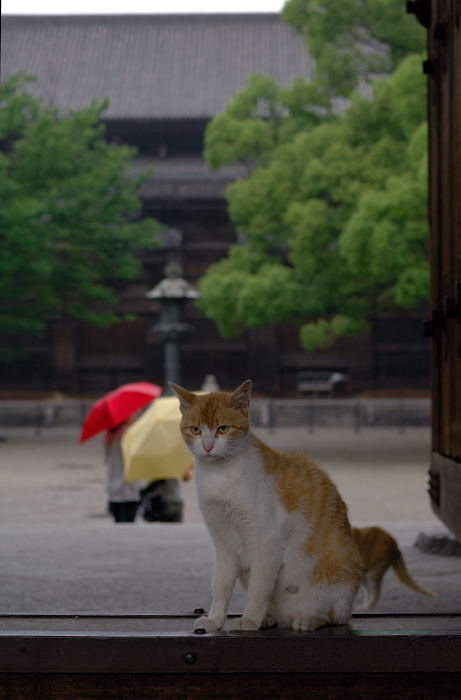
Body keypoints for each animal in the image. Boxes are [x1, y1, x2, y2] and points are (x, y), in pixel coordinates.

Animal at [171, 380, 362, 632]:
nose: (208, 446)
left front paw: (250, 619)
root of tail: (289, 615)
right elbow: (220, 586)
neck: (220, 475)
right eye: (195, 430)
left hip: (336, 579)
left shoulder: (265, 542)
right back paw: (269, 618)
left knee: (332, 616)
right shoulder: (224, 543)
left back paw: (308, 619)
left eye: (223, 429)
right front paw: (215, 620)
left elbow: (258, 589)